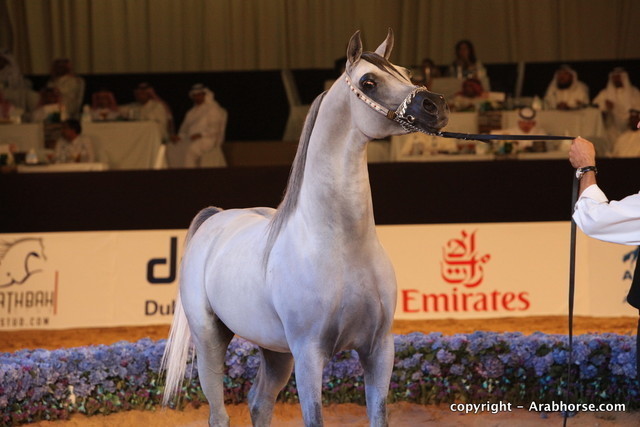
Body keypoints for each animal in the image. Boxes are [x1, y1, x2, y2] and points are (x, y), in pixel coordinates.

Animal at [161, 29, 449, 427]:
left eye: (405, 72)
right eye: (369, 82)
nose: (434, 104)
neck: (341, 246)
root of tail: (216, 217)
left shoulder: (379, 348)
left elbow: (379, 415)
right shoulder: (309, 354)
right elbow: (314, 418)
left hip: (275, 351)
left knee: (259, 401)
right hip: (210, 341)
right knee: (219, 413)